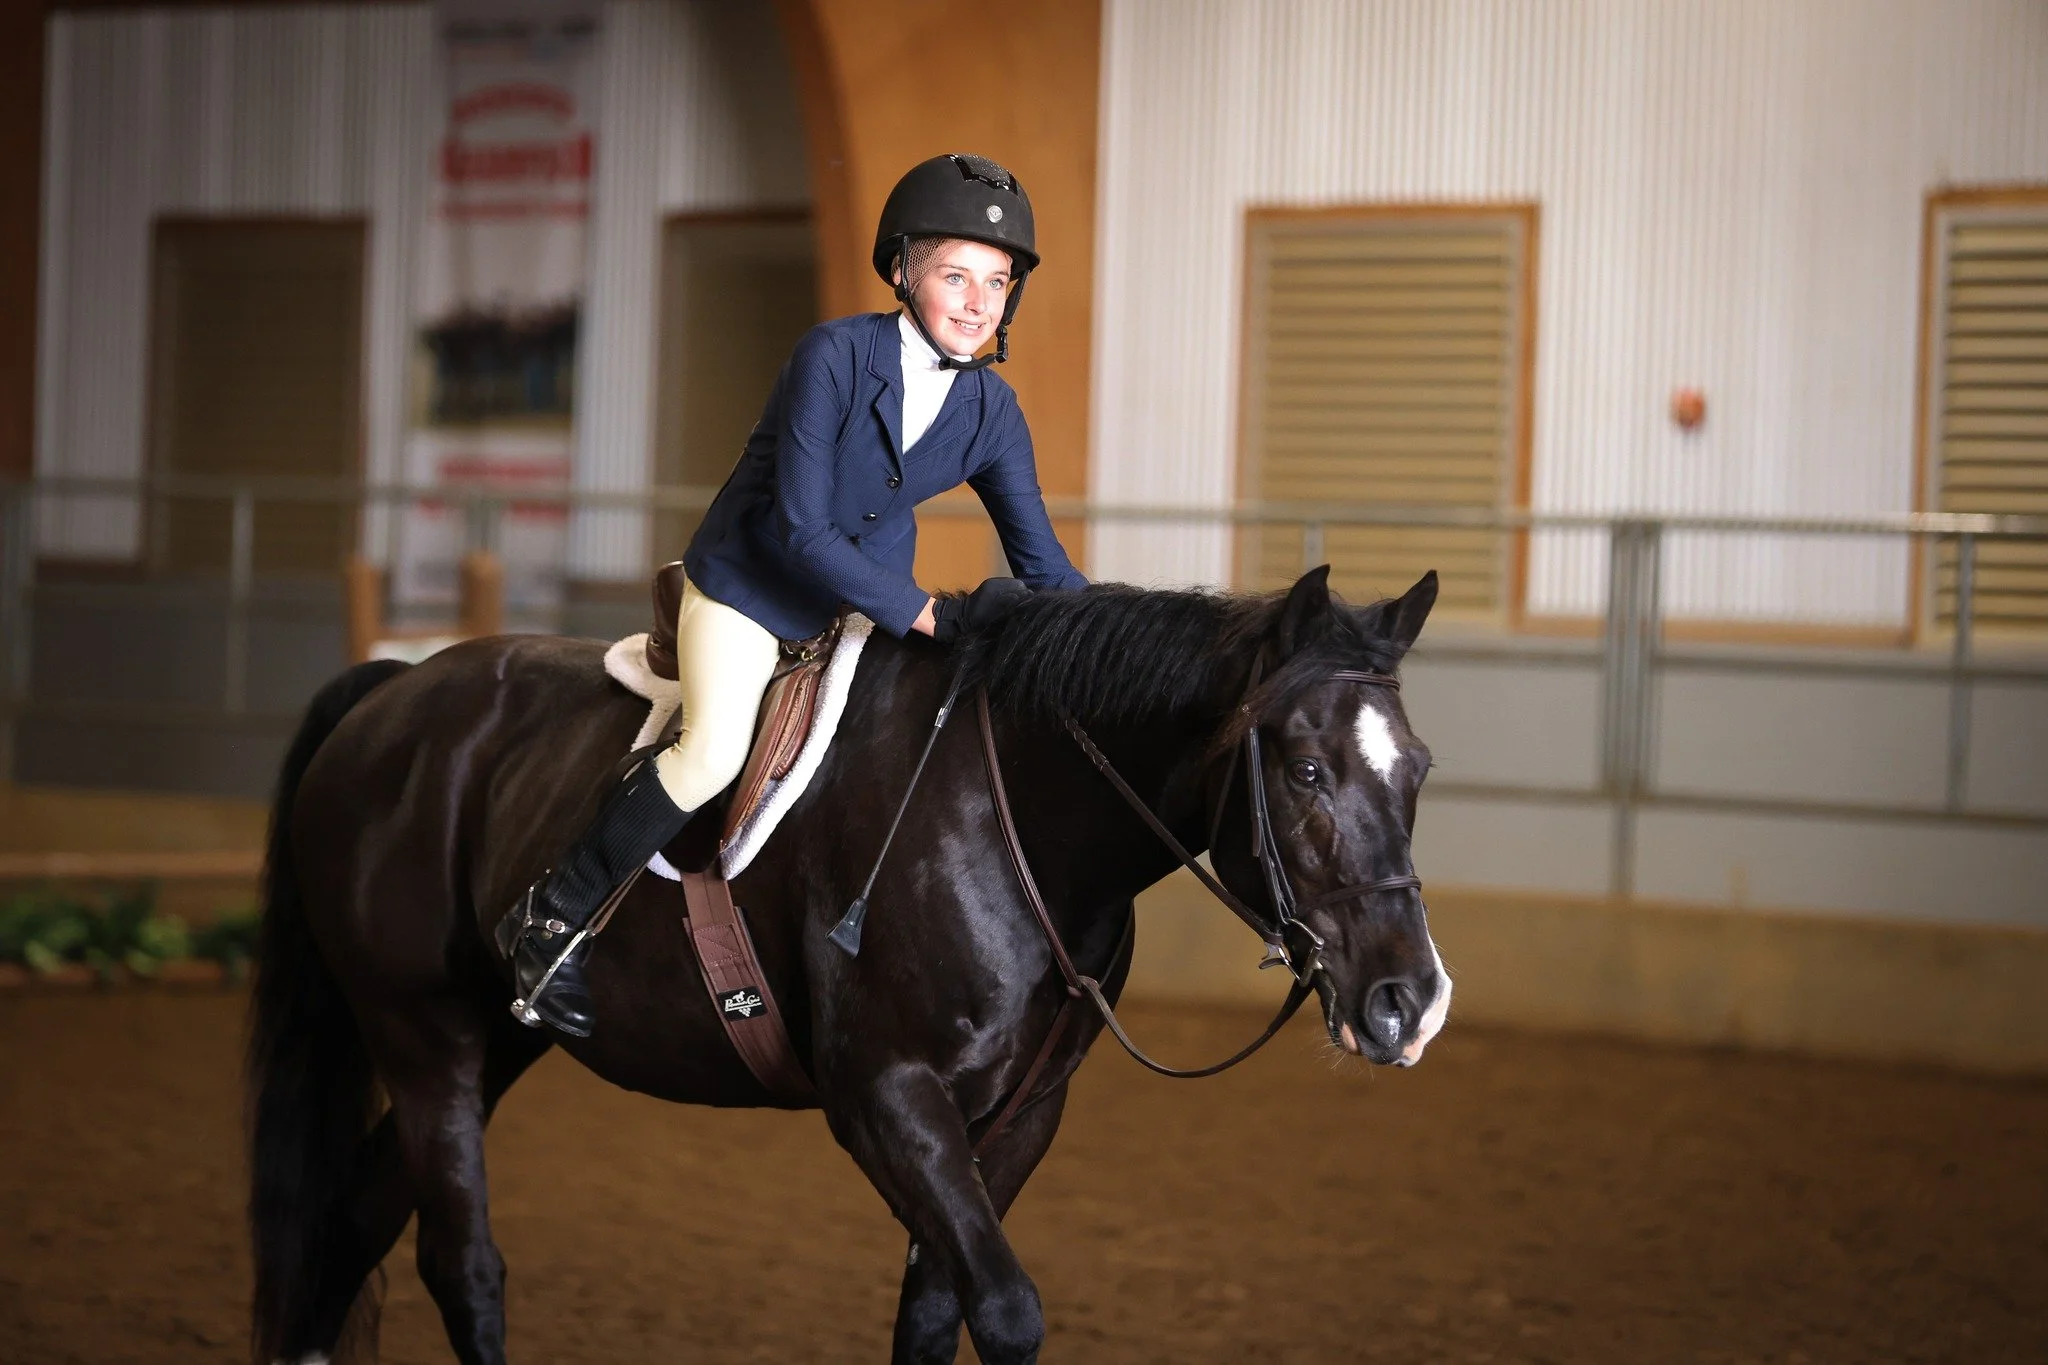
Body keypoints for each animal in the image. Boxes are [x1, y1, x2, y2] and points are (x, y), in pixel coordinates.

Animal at [246, 564, 1450, 1365]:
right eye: (1305, 769)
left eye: (1419, 770)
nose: (1410, 1004)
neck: (1013, 817)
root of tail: (390, 697)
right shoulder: (886, 1098)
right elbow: (1005, 1310)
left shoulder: (1017, 1115)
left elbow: (933, 1312)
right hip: (425, 1038)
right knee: (464, 1266)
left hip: (491, 1040)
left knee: (355, 1223)